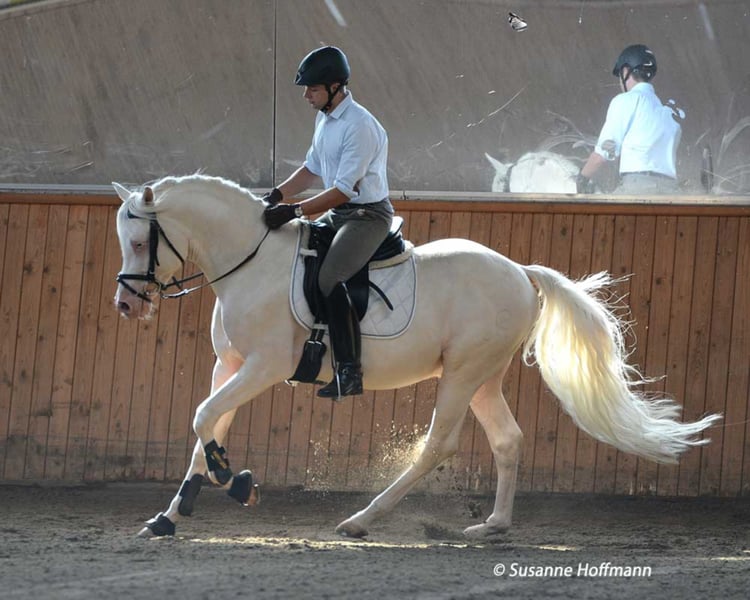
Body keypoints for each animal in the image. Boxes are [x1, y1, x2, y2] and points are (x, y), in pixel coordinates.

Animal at [113, 174, 721, 539]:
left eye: (141, 243)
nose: (125, 304)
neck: (251, 261)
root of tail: (521, 272)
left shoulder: (264, 366)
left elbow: (202, 418)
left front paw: (234, 481)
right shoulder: (232, 365)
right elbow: (205, 424)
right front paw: (170, 515)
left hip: (463, 373)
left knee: (439, 445)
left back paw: (362, 519)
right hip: (483, 376)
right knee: (508, 439)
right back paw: (493, 526)